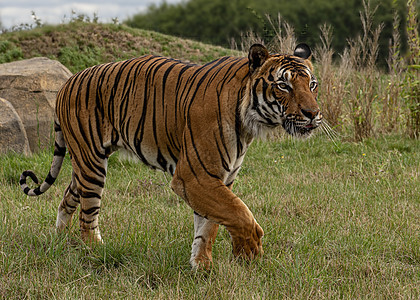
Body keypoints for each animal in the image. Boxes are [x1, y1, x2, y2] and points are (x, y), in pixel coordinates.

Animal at [19, 44, 322, 270]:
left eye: (312, 84)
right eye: (283, 86)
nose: (313, 114)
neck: (249, 120)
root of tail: (67, 82)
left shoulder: (219, 179)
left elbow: (210, 225)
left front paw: (202, 267)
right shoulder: (195, 177)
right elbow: (238, 212)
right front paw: (248, 252)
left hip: (83, 164)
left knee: (67, 198)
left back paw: (60, 241)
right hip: (92, 164)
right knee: (87, 215)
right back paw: (96, 251)